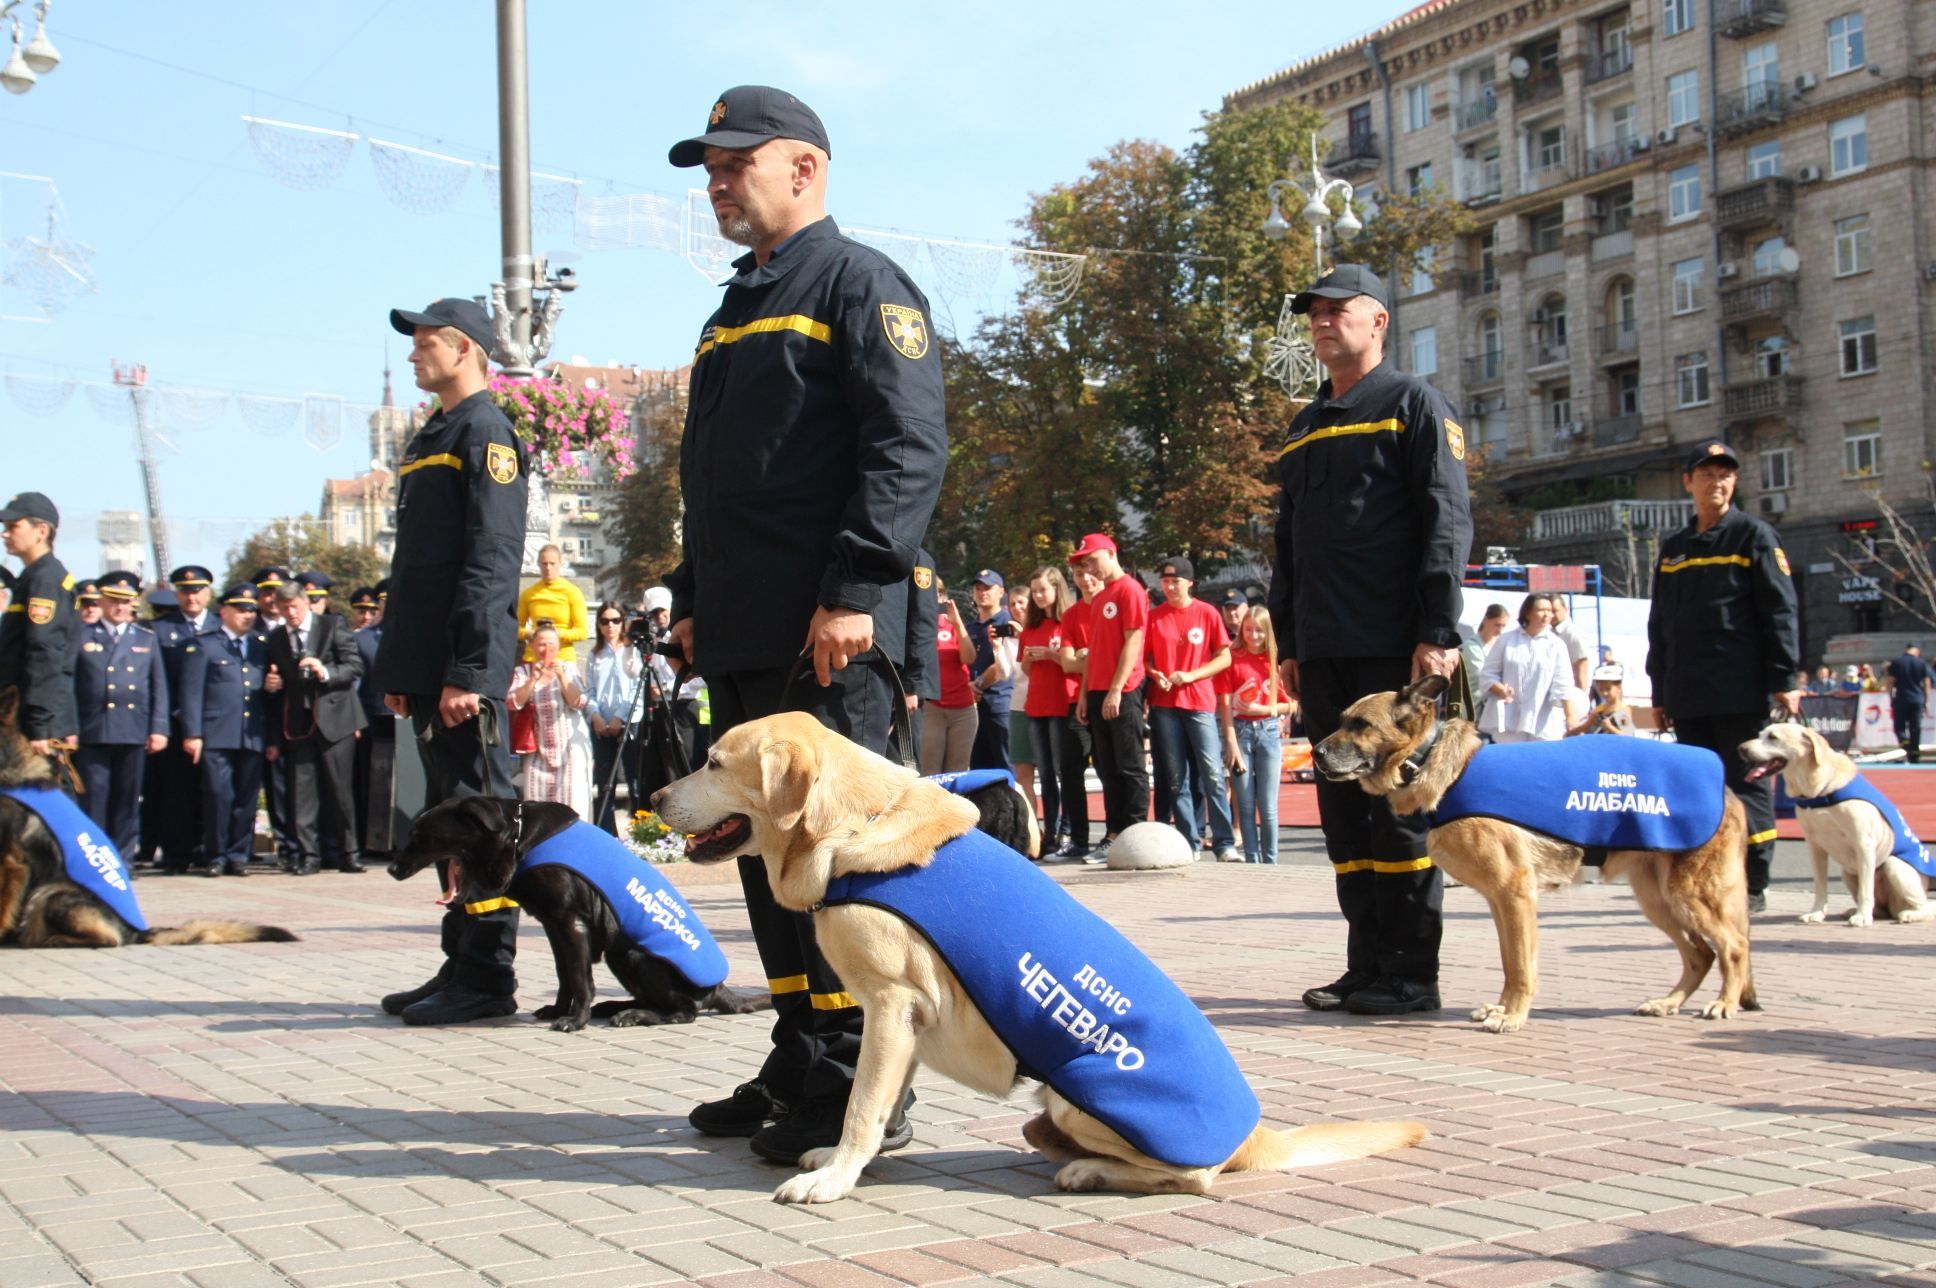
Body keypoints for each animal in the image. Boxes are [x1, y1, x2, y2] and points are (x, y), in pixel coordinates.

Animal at [385, 797, 770, 1030]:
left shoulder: (572, 923)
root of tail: (719, 989)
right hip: (619, 955)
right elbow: (564, 976)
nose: (390, 868)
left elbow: (580, 978)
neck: (519, 836)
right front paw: (559, 1010)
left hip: (634, 955)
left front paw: (575, 1020)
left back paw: (634, 1014)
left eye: (420, 836)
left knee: (685, 1011)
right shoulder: (553, 927)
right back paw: (614, 1007)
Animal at [650, 708, 1424, 1200]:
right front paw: (846, 1161)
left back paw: (1092, 1172)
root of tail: (1253, 1135)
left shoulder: (892, 1004)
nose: (653, 794)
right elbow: (883, 1100)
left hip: (1085, 1092)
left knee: (1196, 1177)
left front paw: (833, 1178)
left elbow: (862, 1106)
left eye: (713, 762)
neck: (852, 829)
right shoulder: (900, 1023)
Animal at [1316, 677, 1757, 1030]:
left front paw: (1512, 1016)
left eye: (1360, 725)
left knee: (1734, 946)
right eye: (1342, 720)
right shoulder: (1501, 902)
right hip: (1659, 900)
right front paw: (1502, 1008)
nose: (1317, 753)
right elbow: (1510, 961)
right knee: (1700, 953)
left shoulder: (1515, 895)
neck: (1430, 758)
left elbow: (1521, 966)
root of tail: (1728, 791)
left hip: (1691, 895)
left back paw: (1724, 1003)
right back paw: (1669, 1003)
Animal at [1742, 724, 1936, 925]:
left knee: (1925, 906)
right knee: (1881, 909)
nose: (1741, 748)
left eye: (1773, 737)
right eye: (1759, 735)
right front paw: (1817, 913)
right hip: (1848, 872)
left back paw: (1909, 914)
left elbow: (1866, 890)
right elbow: (1820, 885)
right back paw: (1855, 910)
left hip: (1894, 865)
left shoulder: (1864, 843)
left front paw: (1862, 917)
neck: (1820, 789)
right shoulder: (1815, 846)